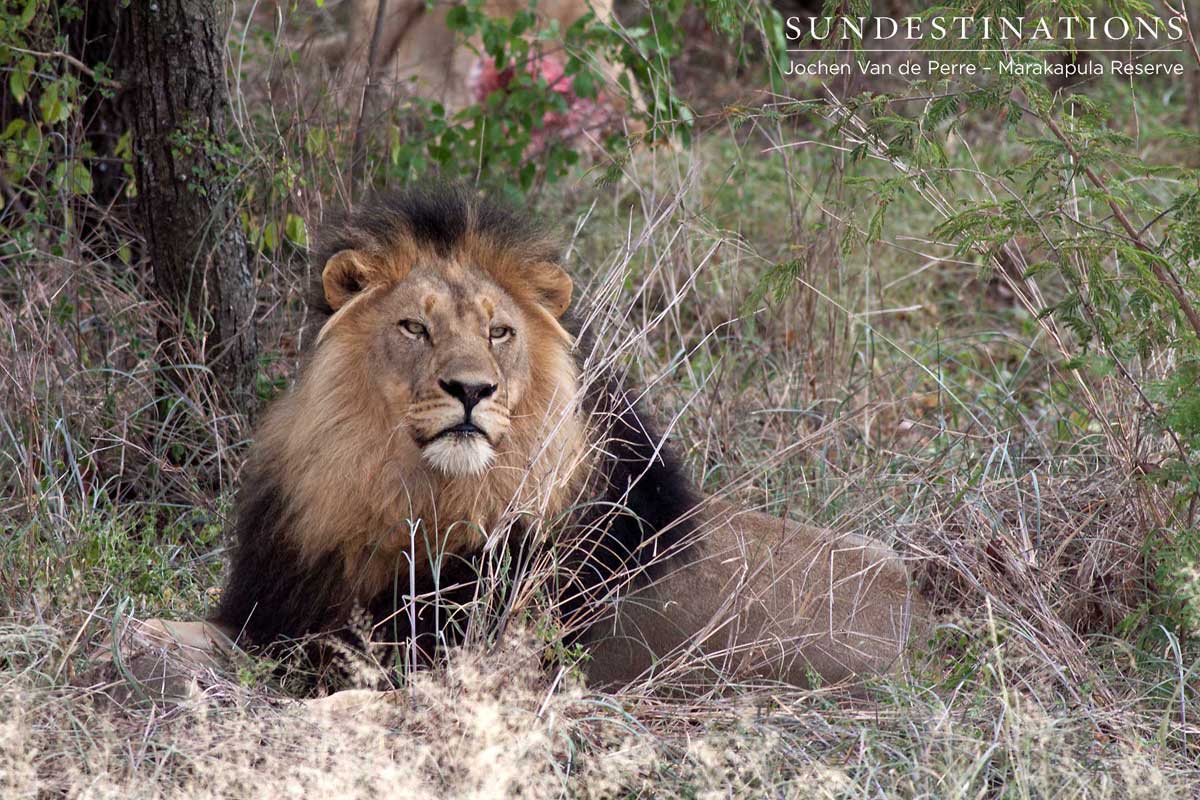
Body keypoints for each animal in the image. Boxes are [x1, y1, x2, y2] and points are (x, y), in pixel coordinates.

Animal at [99, 185, 926, 696]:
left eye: (499, 332)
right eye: (414, 327)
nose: (472, 389)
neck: (389, 492)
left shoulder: (403, 654)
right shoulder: (275, 602)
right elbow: (192, 632)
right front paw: (127, 634)